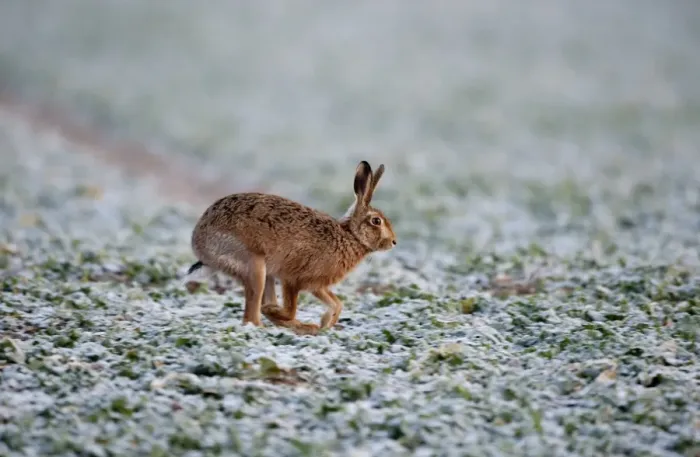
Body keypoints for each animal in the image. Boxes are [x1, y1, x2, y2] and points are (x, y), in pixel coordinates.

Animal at [186, 161, 397, 335]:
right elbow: (290, 309)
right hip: (254, 265)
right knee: (252, 317)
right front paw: (277, 312)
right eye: (376, 221)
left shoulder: (317, 284)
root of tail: (199, 242)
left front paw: (326, 323)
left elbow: (337, 303)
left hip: (265, 274)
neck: (350, 236)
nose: (394, 242)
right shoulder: (294, 279)